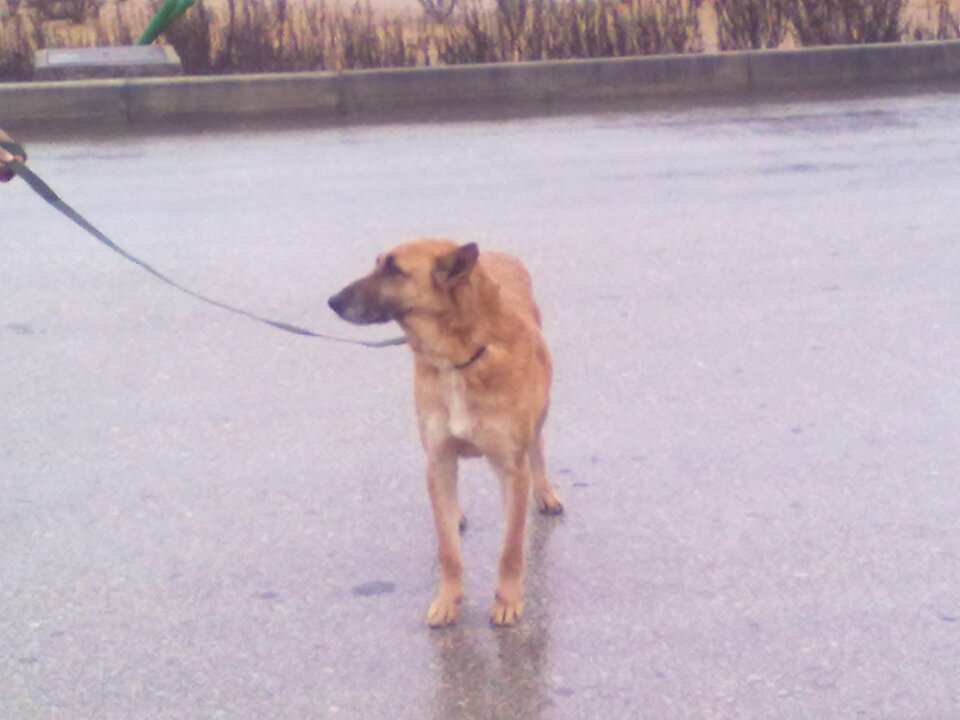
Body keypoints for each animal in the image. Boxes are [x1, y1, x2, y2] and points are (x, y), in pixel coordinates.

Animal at [328, 239, 563, 627]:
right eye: (377, 263)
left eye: (393, 269)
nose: (332, 301)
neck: (458, 359)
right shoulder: (438, 461)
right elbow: (447, 551)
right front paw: (449, 599)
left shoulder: (512, 471)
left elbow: (510, 548)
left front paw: (508, 600)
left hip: (539, 417)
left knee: (538, 447)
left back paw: (545, 492)